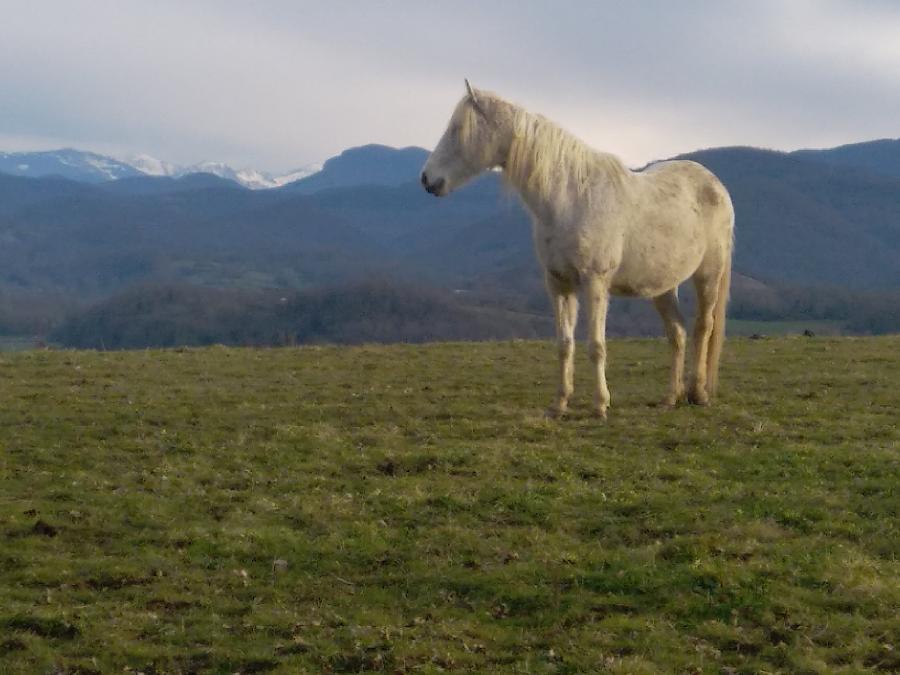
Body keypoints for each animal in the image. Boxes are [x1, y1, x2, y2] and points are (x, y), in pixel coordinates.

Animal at [421, 81, 734, 419]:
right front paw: (559, 404)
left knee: (704, 327)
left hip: (708, 275)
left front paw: (600, 405)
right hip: (663, 286)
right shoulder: (559, 284)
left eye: (457, 130)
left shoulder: (594, 282)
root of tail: (716, 185)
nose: (427, 179)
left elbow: (596, 345)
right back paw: (669, 398)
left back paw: (698, 393)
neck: (569, 198)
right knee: (677, 333)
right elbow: (564, 344)